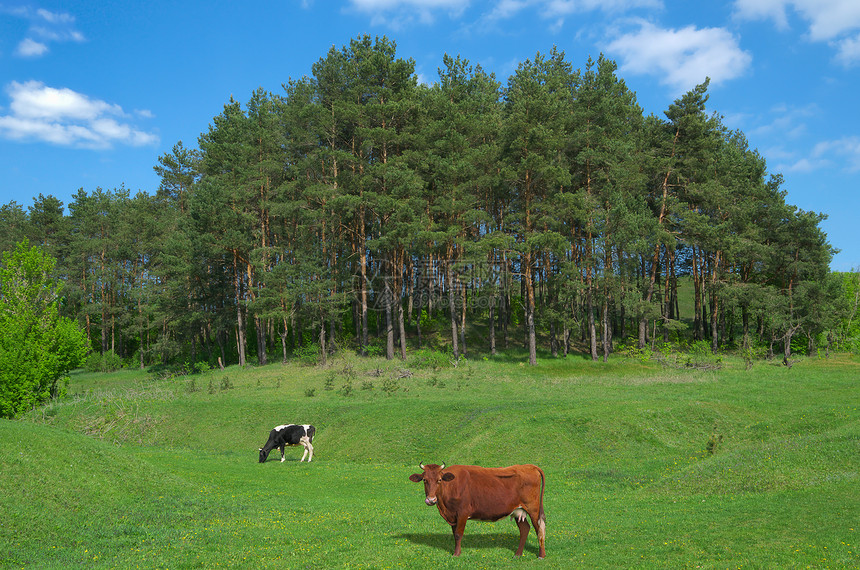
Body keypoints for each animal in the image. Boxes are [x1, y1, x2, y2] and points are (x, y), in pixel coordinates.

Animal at [408, 462, 544, 556]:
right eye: (424, 480)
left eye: (439, 480)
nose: (431, 500)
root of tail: (529, 466)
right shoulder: (453, 516)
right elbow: (454, 534)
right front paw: (457, 551)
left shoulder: (462, 513)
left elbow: (458, 534)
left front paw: (456, 554)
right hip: (518, 511)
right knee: (525, 529)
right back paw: (518, 554)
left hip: (533, 509)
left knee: (539, 529)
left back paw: (541, 555)